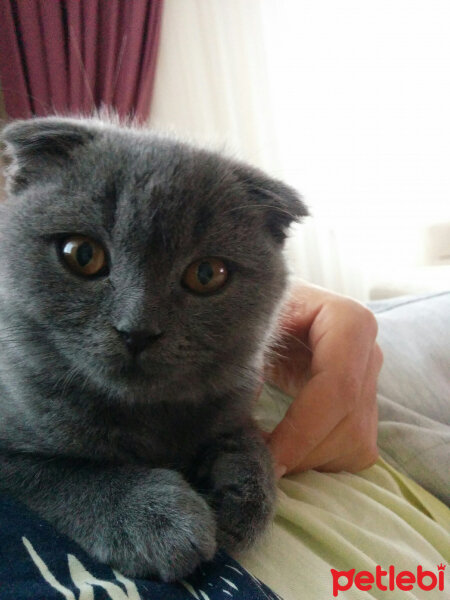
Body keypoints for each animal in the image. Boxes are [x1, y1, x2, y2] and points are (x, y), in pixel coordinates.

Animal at [0, 116, 306, 580]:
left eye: (207, 274)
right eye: (81, 254)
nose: (138, 331)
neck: (145, 415)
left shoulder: (236, 395)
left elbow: (250, 439)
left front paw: (243, 499)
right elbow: (65, 473)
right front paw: (157, 520)